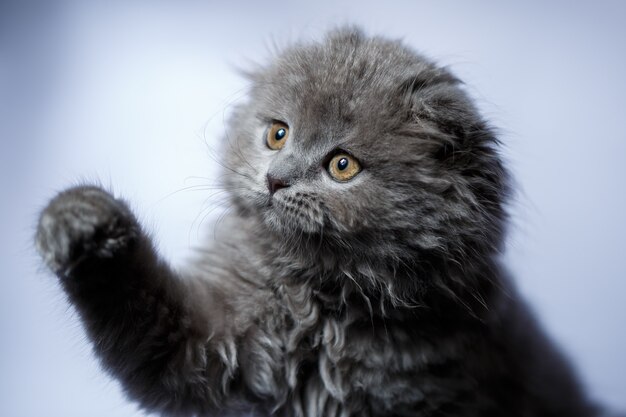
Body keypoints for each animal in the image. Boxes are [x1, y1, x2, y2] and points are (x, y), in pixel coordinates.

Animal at [36, 27, 604, 414]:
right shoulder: (212, 342)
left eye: (341, 166)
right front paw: (81, 219)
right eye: (278, 134)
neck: (320, 305)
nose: (276, 180)